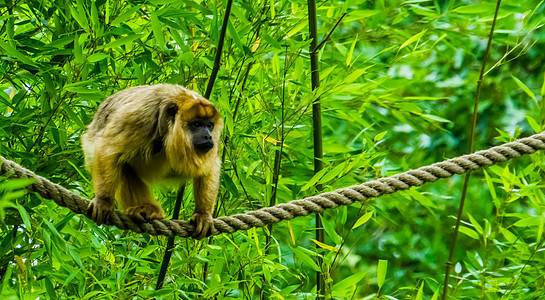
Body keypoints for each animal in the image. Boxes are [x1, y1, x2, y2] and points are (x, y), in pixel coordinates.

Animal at [82, 83, 222, 238]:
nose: (208, 136)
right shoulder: (139, 117)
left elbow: (210, 167)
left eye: (209, 125)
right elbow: (108, 150)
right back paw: (144, 208)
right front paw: (103, 201)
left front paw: (203, 214)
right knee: (122, 164)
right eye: (196, 124)